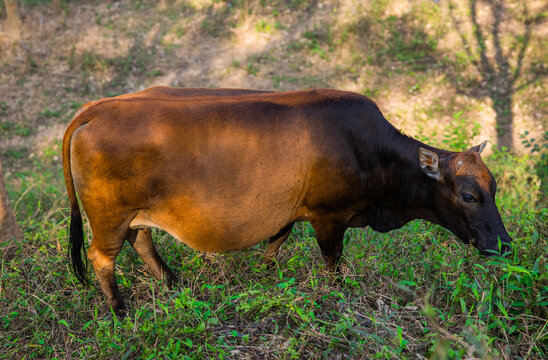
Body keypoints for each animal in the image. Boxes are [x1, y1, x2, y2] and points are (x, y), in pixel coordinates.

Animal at [62, 86, 512, 312]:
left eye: (493, 188)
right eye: (469, 195)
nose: (505, 245)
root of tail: (97, 108)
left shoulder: (289, 213)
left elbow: (274, 245)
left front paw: (264, 277)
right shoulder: (329, 217)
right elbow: (332, 262)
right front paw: (338, 295)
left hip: (134, 215)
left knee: (142, 241)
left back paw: (174, 283)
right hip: (109, 216)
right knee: (102, 257)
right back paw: (120, 309)